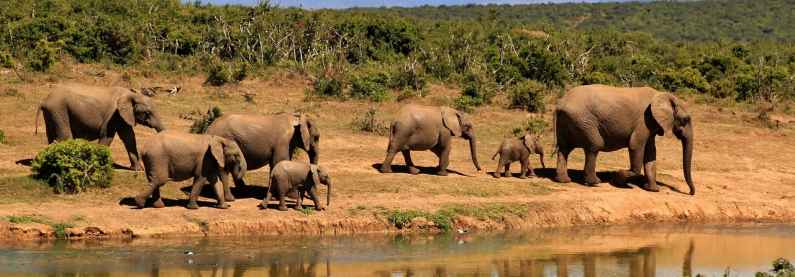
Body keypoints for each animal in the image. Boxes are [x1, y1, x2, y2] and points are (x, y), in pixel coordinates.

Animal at [36, 83, 166, 169]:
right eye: (147, 113)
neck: (131, 95)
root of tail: (44, 100)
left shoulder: (122, 116)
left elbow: (128, 137)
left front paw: (138, 170)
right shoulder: (113, 115)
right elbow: (107, 136)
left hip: (52, 113)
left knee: (51, 136)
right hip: (59, 110)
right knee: (64, 136)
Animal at [556, 84, 692, 194]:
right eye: (685, 120)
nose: (690, 192)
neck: (661, 95)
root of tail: (561, 103)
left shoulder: (651, 124)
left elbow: (651, 153)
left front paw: (653, 190)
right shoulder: (644, 121)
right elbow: (635, 145)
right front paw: (618, 179)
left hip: (569, 121)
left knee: (564, 148)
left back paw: (564, 180)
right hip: (583, 120)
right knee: (594, 145)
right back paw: (595, 182)